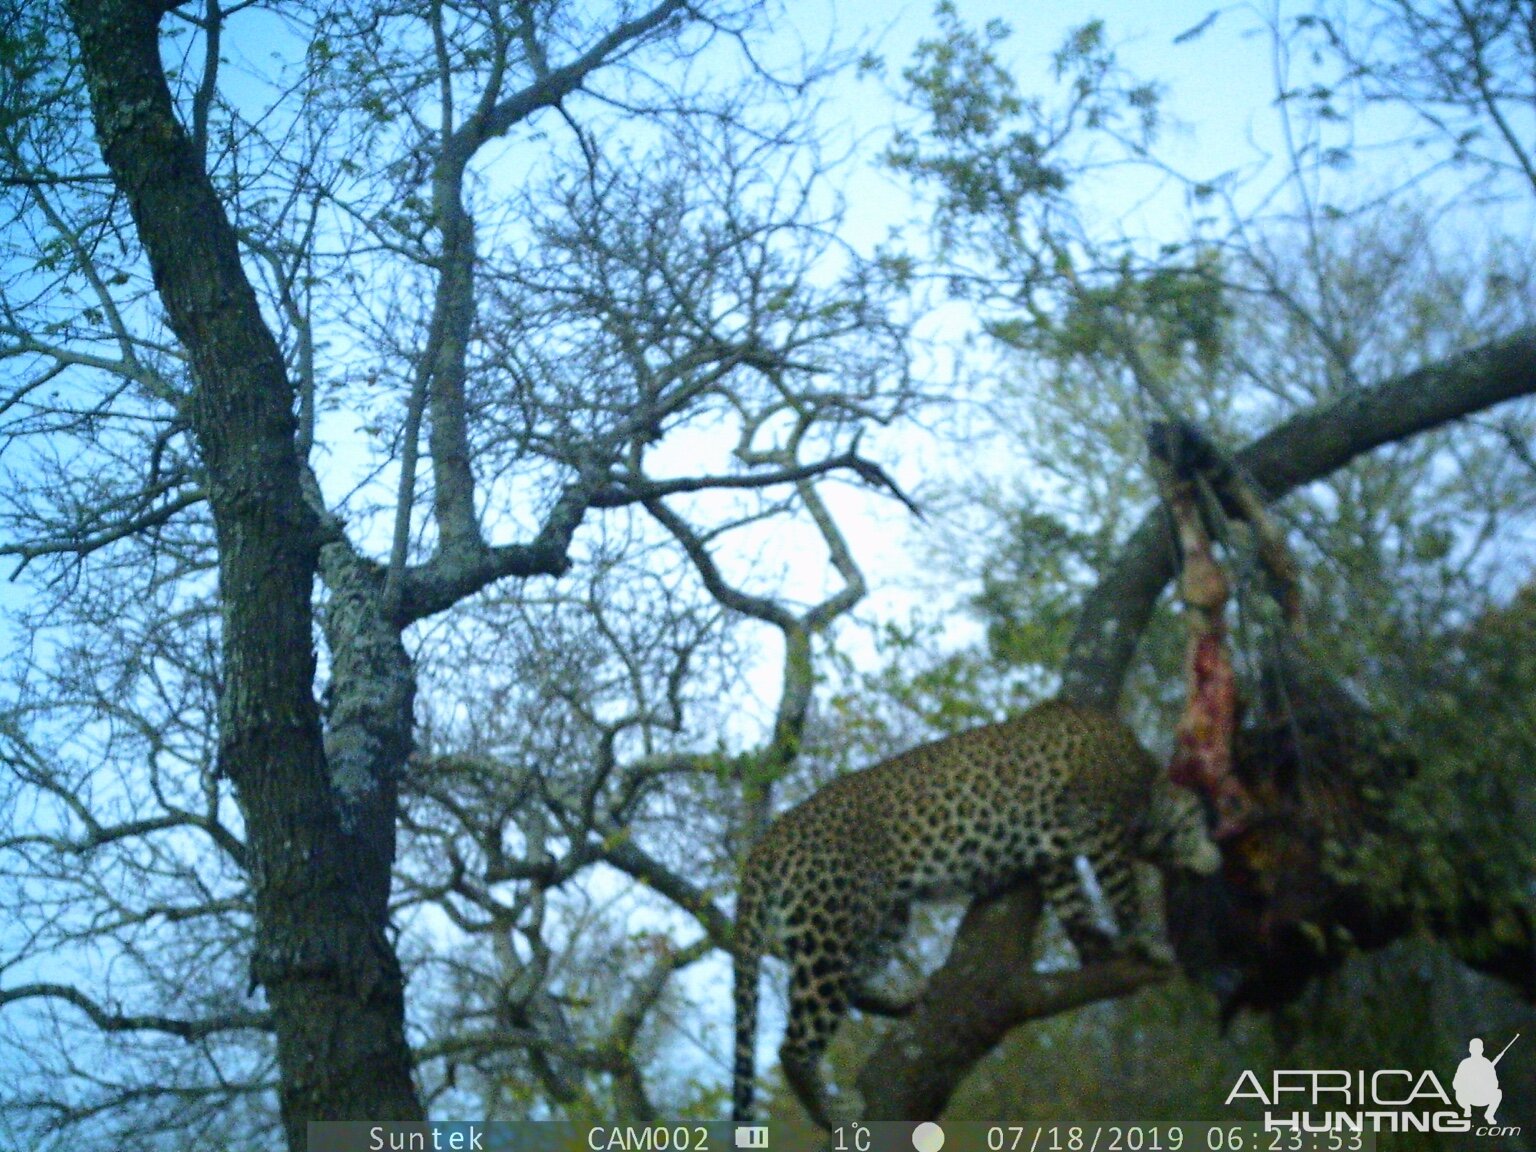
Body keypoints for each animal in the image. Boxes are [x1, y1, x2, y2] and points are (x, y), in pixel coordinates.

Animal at [731, 700, 1222, 1130]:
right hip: (829, 925)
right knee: (795, 1041)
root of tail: (770, 837)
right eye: (1204, 819)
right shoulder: (1102, 830)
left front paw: (1098, 948)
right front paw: (1145, 940)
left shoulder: (1055, 855)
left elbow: (1074, 903)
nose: (1218, 858)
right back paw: (830, 1108)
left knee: (857, 979)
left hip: (885, 911)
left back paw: (903, 997)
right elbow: (1122, 892)